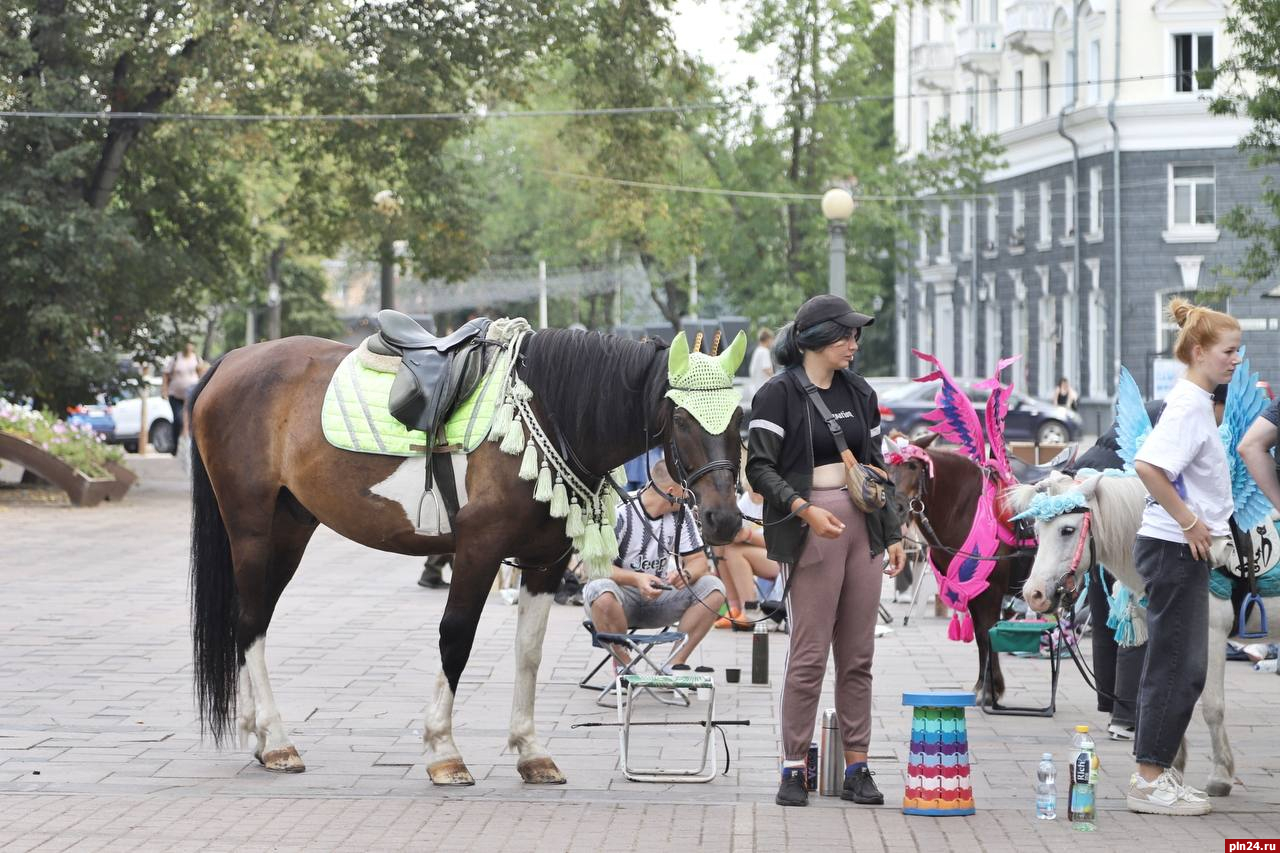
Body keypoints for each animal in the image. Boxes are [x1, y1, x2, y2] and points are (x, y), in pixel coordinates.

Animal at [186, 325, 742, 783]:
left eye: (738, 416)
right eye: (681, 419)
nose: (726, 520)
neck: (546, 413)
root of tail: (231, 360)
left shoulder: (545, 562)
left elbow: (529, 651)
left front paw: (530, 750)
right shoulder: (478, 548)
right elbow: (455, 638)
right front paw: (443, 751)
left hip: (289, 529)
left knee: (250, 620)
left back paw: (257, 734)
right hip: (251, 528)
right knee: (251, 622)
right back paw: (278, 741)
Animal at [1008, 471, 1269, 799]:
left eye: (1067, 530)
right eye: (1037, 533)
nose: (1035, 595)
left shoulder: (1213, 630)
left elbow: (1212, 707)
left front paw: (1220, 775)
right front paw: (1170, 770)